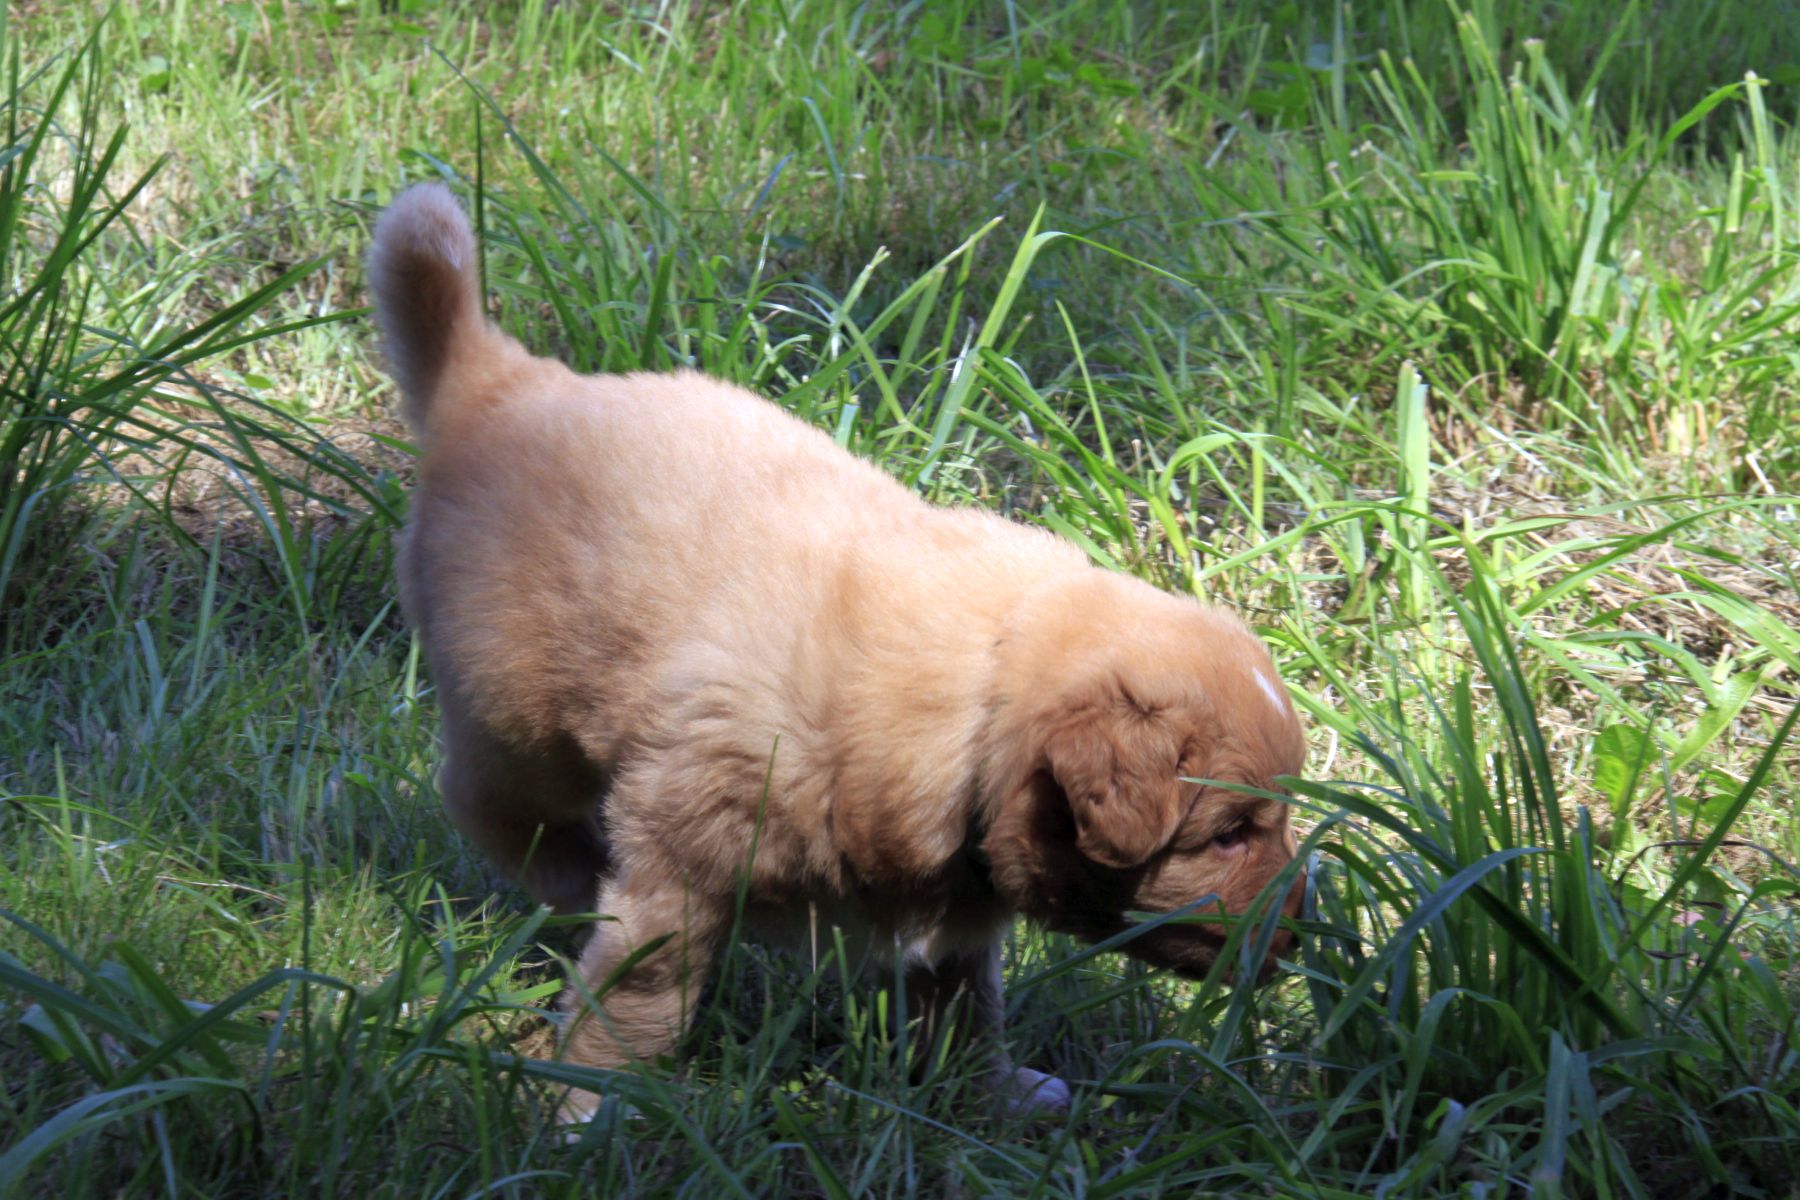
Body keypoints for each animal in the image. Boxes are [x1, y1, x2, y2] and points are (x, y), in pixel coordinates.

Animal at [368, 183, 1307, 1120]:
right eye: (1228, 835)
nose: (1301, 939)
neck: (978, 704)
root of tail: (502, 383)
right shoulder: (684, 854)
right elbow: (643, 992)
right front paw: (591, 1102)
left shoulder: (953, 905)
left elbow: (967, 1002)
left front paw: (993, 1093)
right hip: (518, 713)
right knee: (485, 801)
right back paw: (568, 880)